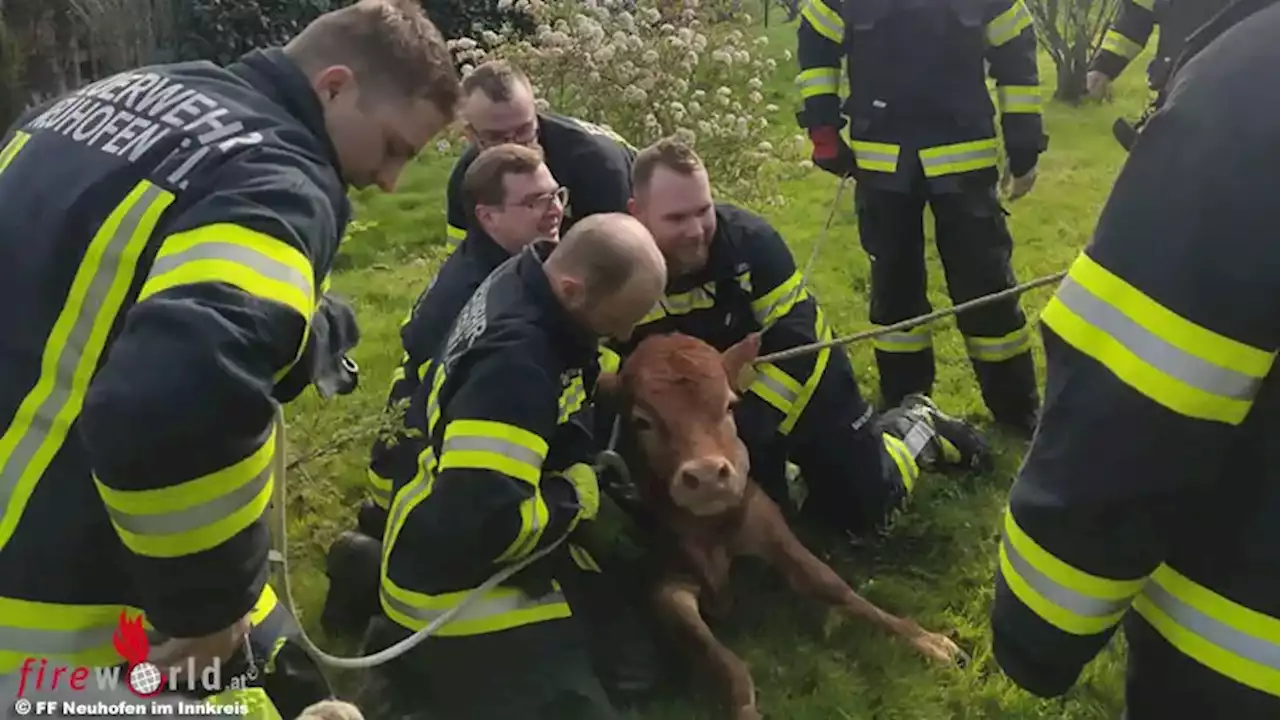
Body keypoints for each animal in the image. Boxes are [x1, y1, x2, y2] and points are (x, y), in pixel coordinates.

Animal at [593, 330, 962, 717]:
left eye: (729, 405)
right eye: (642, 421)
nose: (707, 476)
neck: (712, 529)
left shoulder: (768, 525)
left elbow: (831, 584)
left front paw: (928, 640)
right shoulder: (666, 579)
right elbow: (723, 659)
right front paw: (745, 707)